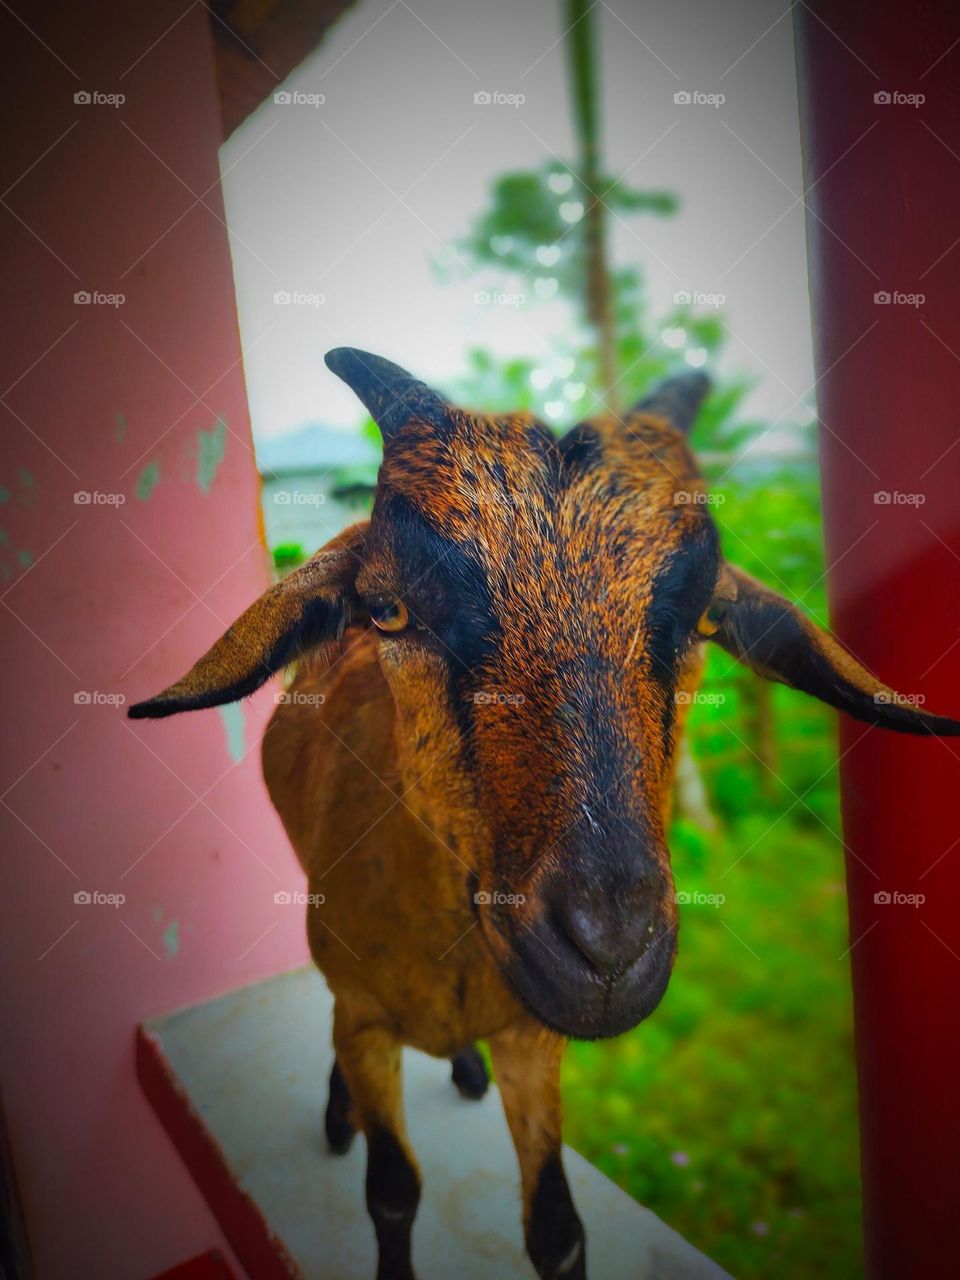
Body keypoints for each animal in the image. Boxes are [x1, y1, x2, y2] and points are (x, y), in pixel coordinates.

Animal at [130, 349, 960, 1280]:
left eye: (708, 617)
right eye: (388, 610)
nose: (608, 952)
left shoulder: (535, 1036)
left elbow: (557, 1229)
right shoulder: (367, 1020)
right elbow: (393, 1189)